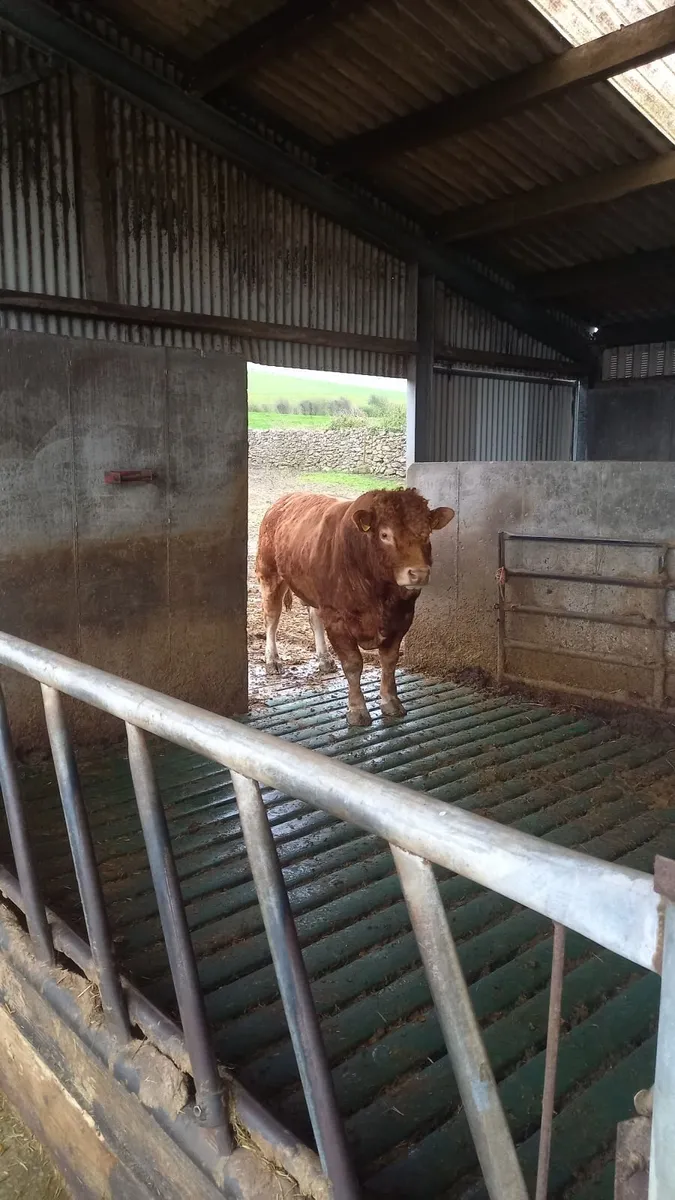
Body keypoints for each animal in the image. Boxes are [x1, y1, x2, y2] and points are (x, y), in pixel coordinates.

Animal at [255, 487, 454, 726]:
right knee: (271, 618)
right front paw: (357, 710)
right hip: (269, 573)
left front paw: (391, 702)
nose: (418, 573)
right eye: (385, 534)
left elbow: (389, 661)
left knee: (314, 618)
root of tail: (285, 499)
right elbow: (353, 664)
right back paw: (272, 660)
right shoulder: (337, 617)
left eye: (427, 533)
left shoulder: (403, 617)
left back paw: (324, 659)